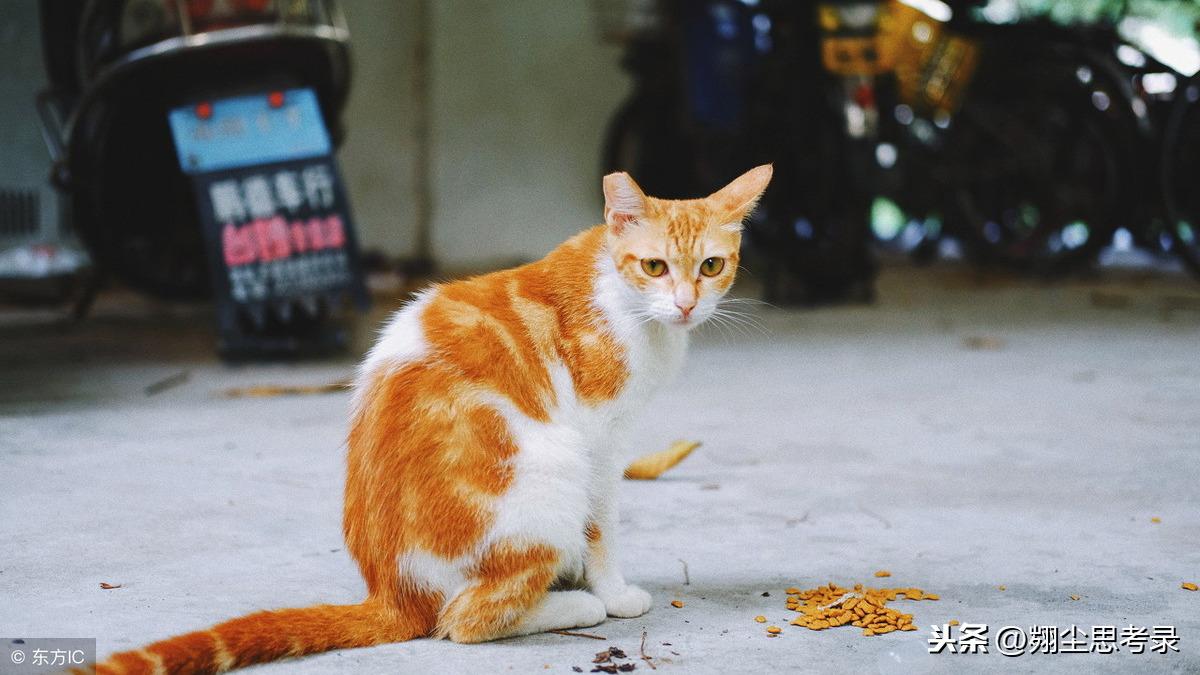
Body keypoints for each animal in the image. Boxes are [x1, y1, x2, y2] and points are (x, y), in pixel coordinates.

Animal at [88, 164, 772, 672]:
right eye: (654, 266)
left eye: (710, 266)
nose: (685, 305)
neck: (625, 300)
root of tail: (394, 591)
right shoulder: (600, 442)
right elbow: (602, 527)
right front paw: (611, 590)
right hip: (552, 471)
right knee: (462, 621)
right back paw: (572, 608)